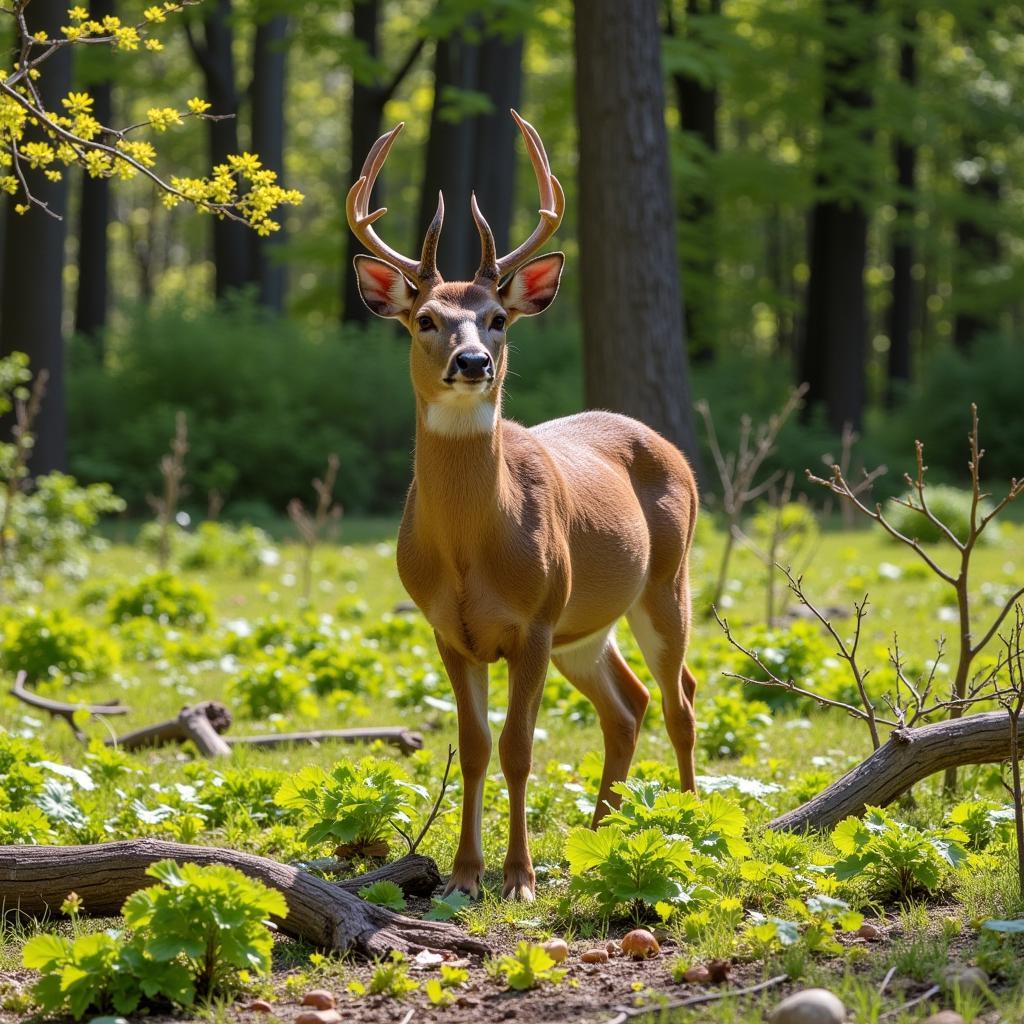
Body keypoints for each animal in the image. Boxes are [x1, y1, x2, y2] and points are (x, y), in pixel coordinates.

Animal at [348, 108, 700, 901]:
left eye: (497, 319)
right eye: (426, 318)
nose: (473, 362)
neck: (470, 553)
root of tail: (671, 450)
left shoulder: (535, 620)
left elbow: (517, 747)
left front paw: (518, 877)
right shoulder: (448, 630)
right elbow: (473, 745)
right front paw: (463, 874)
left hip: (664, 581)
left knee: (681, 698)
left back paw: (693, 827)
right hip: (585, 627)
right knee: (627, 706)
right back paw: (600, 837)